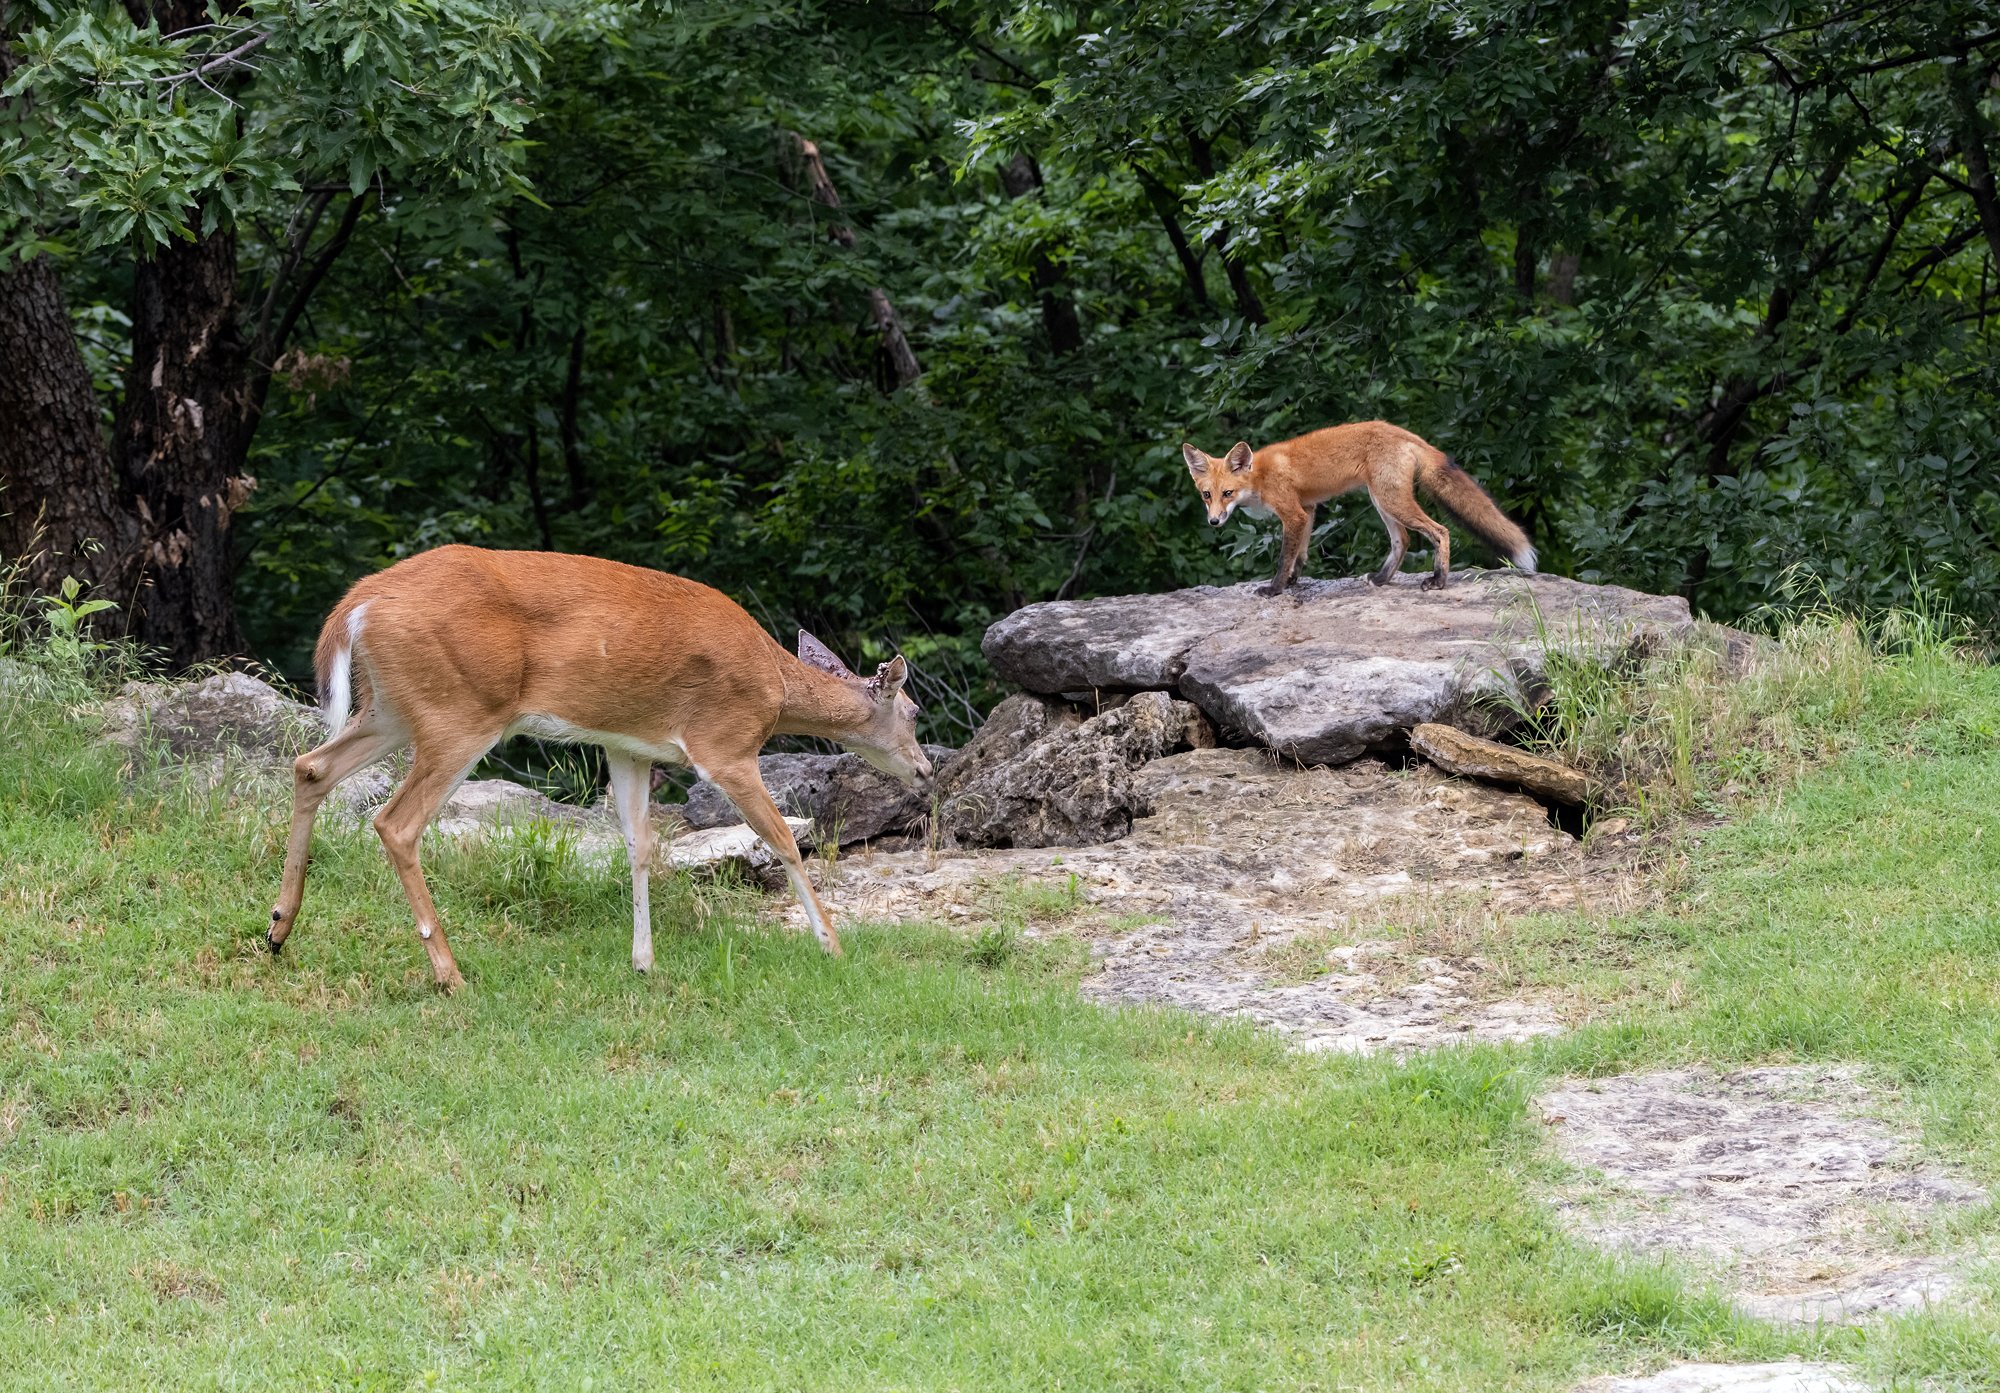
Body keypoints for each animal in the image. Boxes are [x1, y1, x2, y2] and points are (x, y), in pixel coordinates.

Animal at [266, 545, 933, 991]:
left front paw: (643, 962)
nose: (927, 772)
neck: (775, 685)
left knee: (310, 767)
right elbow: (783, 840)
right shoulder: (725, 743)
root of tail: (357, 605)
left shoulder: (630, 745)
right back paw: (450, 975)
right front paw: (832, 947)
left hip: (395, 709)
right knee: (395, 823)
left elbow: (640, 846)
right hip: (460, 711)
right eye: (914, 710)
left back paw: (278, 928)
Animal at [1181, 420, 1535, 595]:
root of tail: (1404, 432)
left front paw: (1275, 589)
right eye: (1206, 495)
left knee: (1440, 531)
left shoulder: (1293, 513)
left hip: (1391, 500)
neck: (1260, 475)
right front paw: (1294, 583)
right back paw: (1381, 579)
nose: (1214, 522)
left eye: (1228, 493)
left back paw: (1438, 581)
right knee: (1403, 540)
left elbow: (1284, 558)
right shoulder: (1308, 509)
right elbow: (1301, 555)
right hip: (1381, 501)